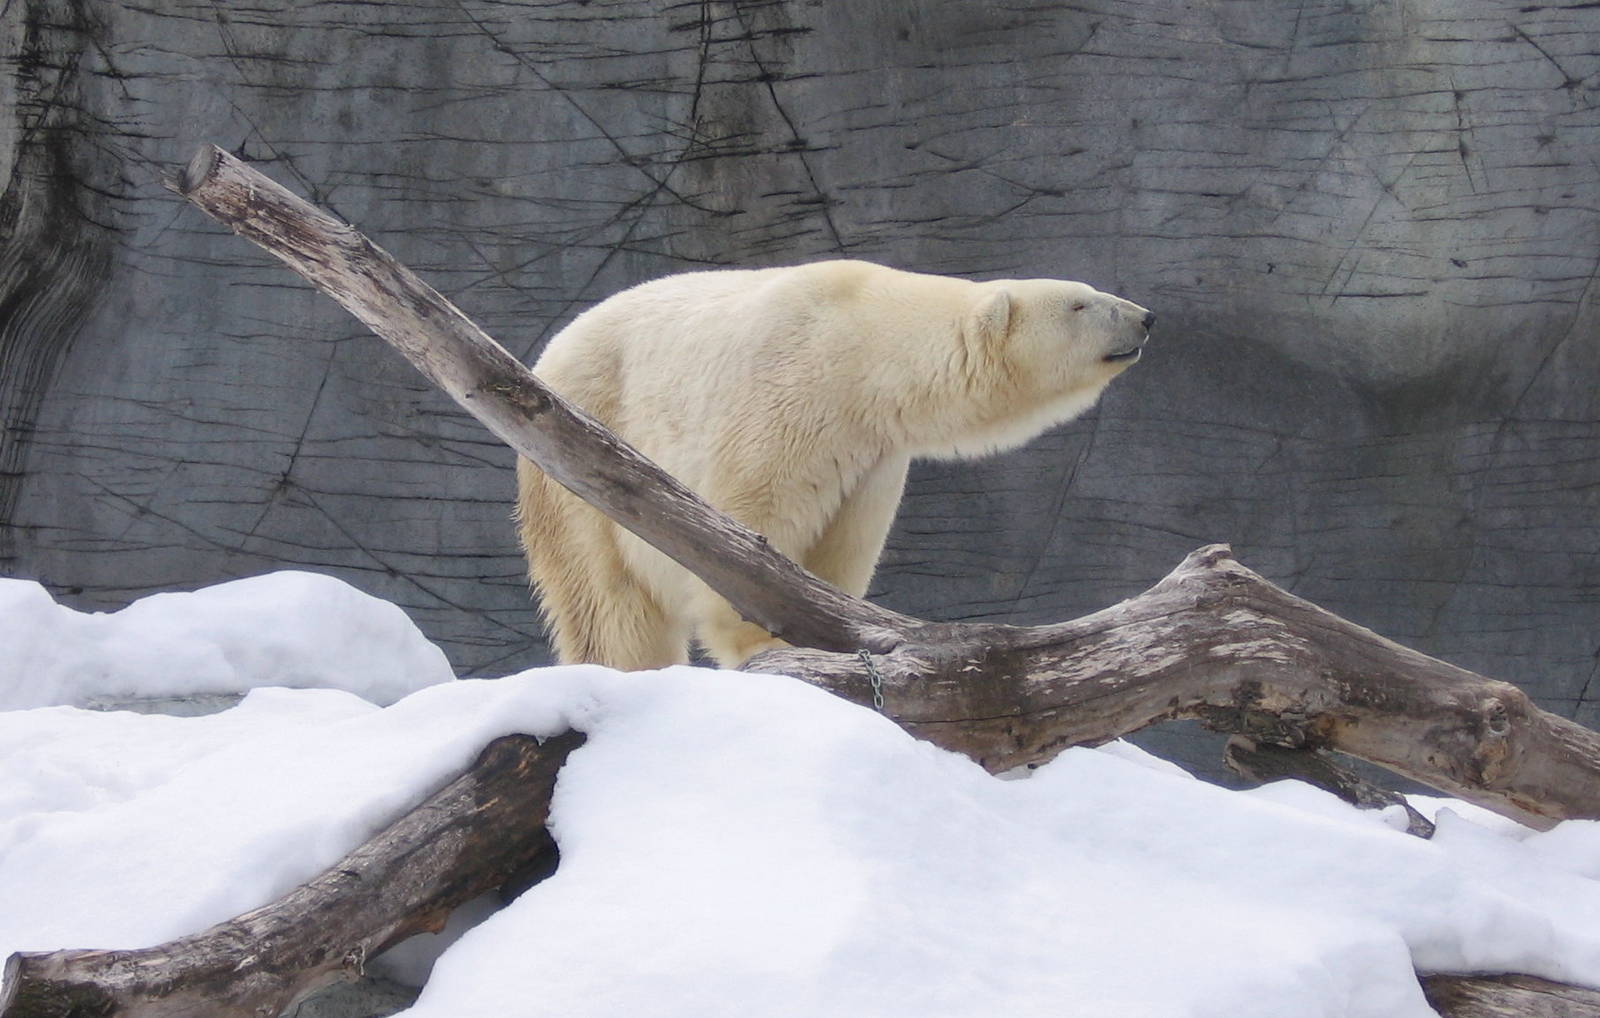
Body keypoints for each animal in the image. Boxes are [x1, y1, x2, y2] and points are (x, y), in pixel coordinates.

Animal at [516, 259, 1152, 670]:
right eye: (1080, 303)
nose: (1146, 316)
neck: (862, 339)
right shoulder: (791, 391)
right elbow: (752, 520)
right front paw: (764, 642)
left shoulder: (872, 451)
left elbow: (842, 544)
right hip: (583, 458)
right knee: (606, 595)